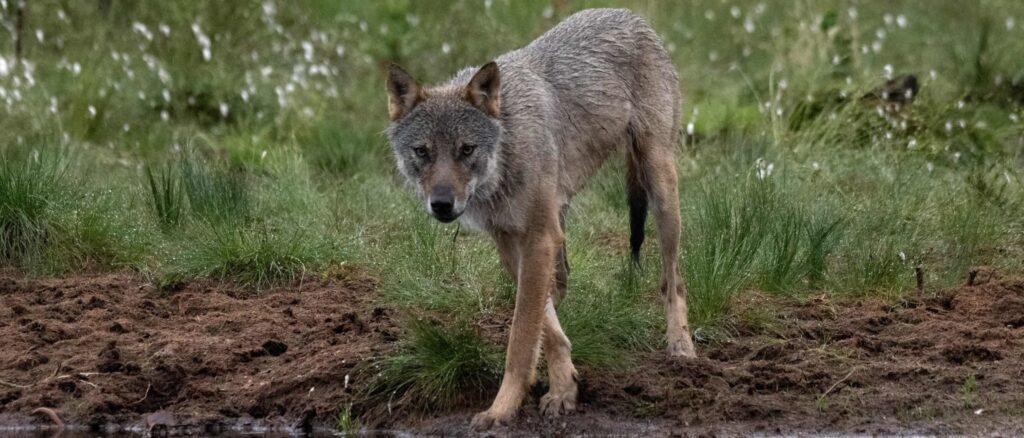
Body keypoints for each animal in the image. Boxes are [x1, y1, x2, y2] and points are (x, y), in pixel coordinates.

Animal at [384, 8, 695, 429]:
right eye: (422, 151)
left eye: (466, 149)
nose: (442, 204)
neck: (507, 151)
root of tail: (629, 15)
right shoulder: (511, 241)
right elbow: (542, 327)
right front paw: (564, 387)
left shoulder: (538, 237)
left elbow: (520, 338)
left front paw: (502, 408)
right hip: (564, 222)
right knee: (563, 285)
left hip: (660, 187)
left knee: (672, 278)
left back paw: (681, 345)